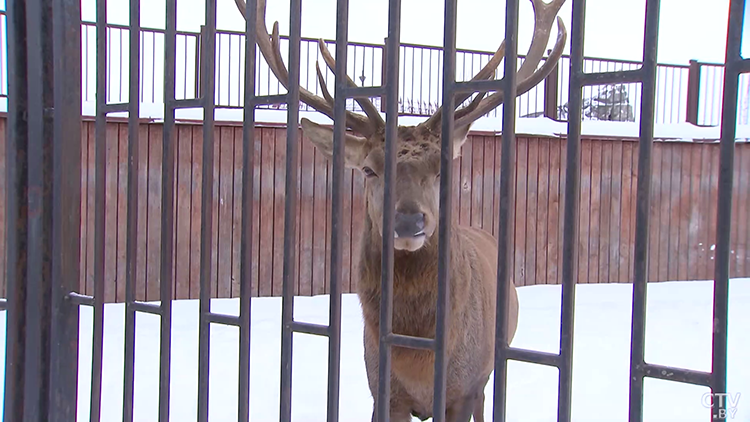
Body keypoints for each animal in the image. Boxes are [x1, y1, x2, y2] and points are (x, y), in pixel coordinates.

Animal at [232, 0, 568, 420]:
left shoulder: (463, 389)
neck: (417, 354)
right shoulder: (382, 389)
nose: (408, 221)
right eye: (369, 169)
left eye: (442, 168)